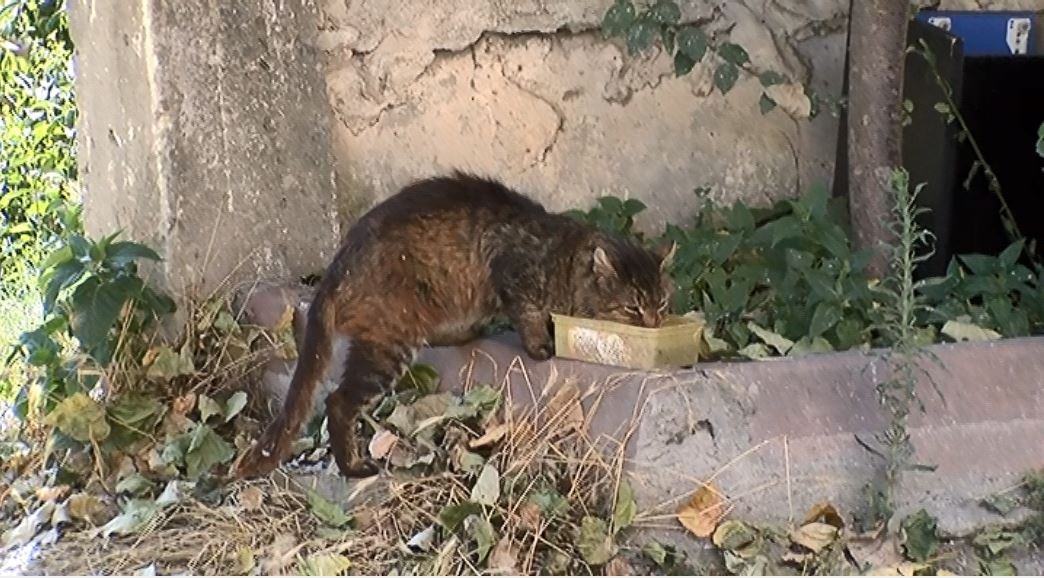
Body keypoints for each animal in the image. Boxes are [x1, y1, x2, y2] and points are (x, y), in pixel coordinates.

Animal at [233, 170, 676, 477]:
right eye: (633, 309)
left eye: (661, 303)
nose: (654, 323)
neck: (563, 262)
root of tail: (336, 268)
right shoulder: (514, 278)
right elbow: (529, 317)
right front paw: (540, 346)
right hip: (389, 344)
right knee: (337, 402)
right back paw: (353, 467)